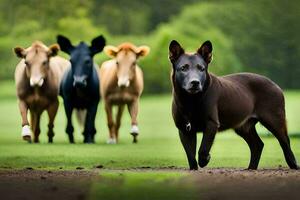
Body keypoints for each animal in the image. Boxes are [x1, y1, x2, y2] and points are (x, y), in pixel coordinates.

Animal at [170, 39, 298, 170]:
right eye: (183, 68)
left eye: (201, 69)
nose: (195, 82)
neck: (190, 100)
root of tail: (275, 85)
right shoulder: (184, 129)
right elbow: (190, 155)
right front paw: (194, 168)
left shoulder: (211, 124)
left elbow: (203, 149)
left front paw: (205, 160)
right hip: (244, 127)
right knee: (257, 145)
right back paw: (251, 168)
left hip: (274, 120)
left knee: (285, 142)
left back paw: (293, 165)